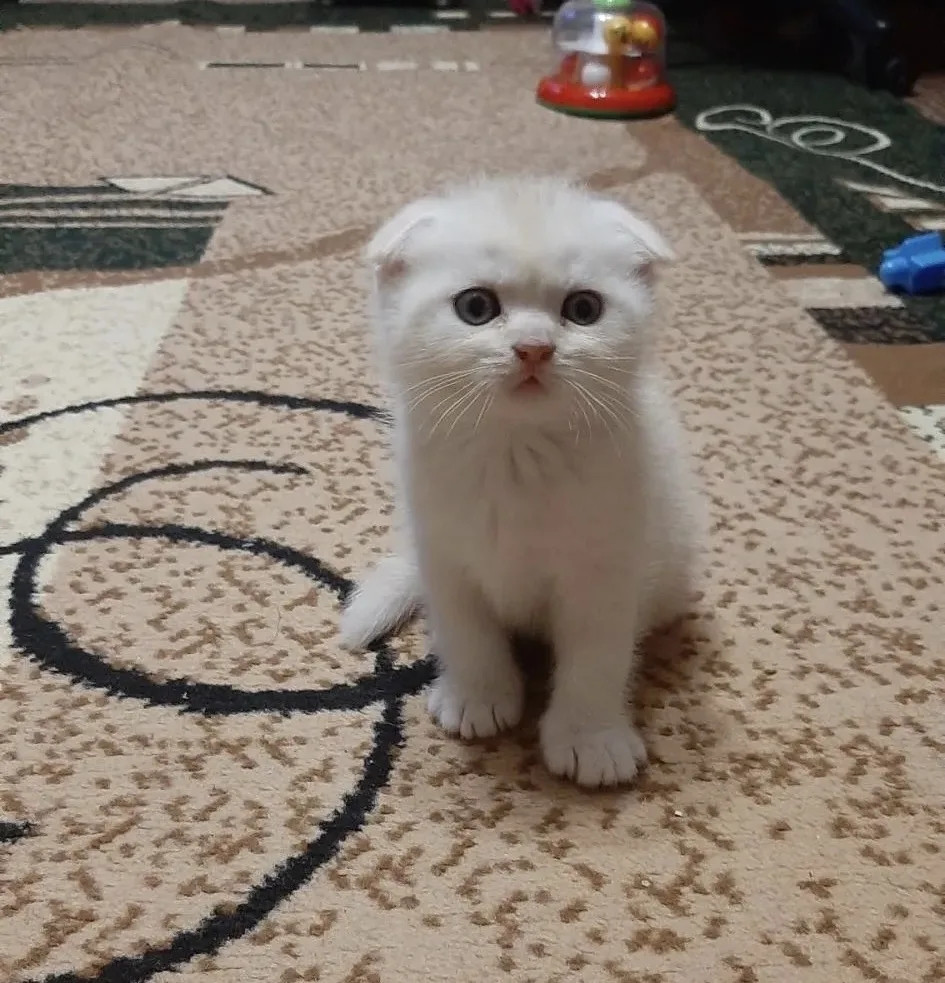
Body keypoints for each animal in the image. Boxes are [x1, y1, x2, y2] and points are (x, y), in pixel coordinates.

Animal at [341, 176, 702, 787]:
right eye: (476, 306)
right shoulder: (444, 552)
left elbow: (598, 657)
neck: (516, 455)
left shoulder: (606, 566)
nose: (534, 348)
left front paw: (590, 737)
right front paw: (478, 696)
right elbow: (466, 632)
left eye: (583, 308)